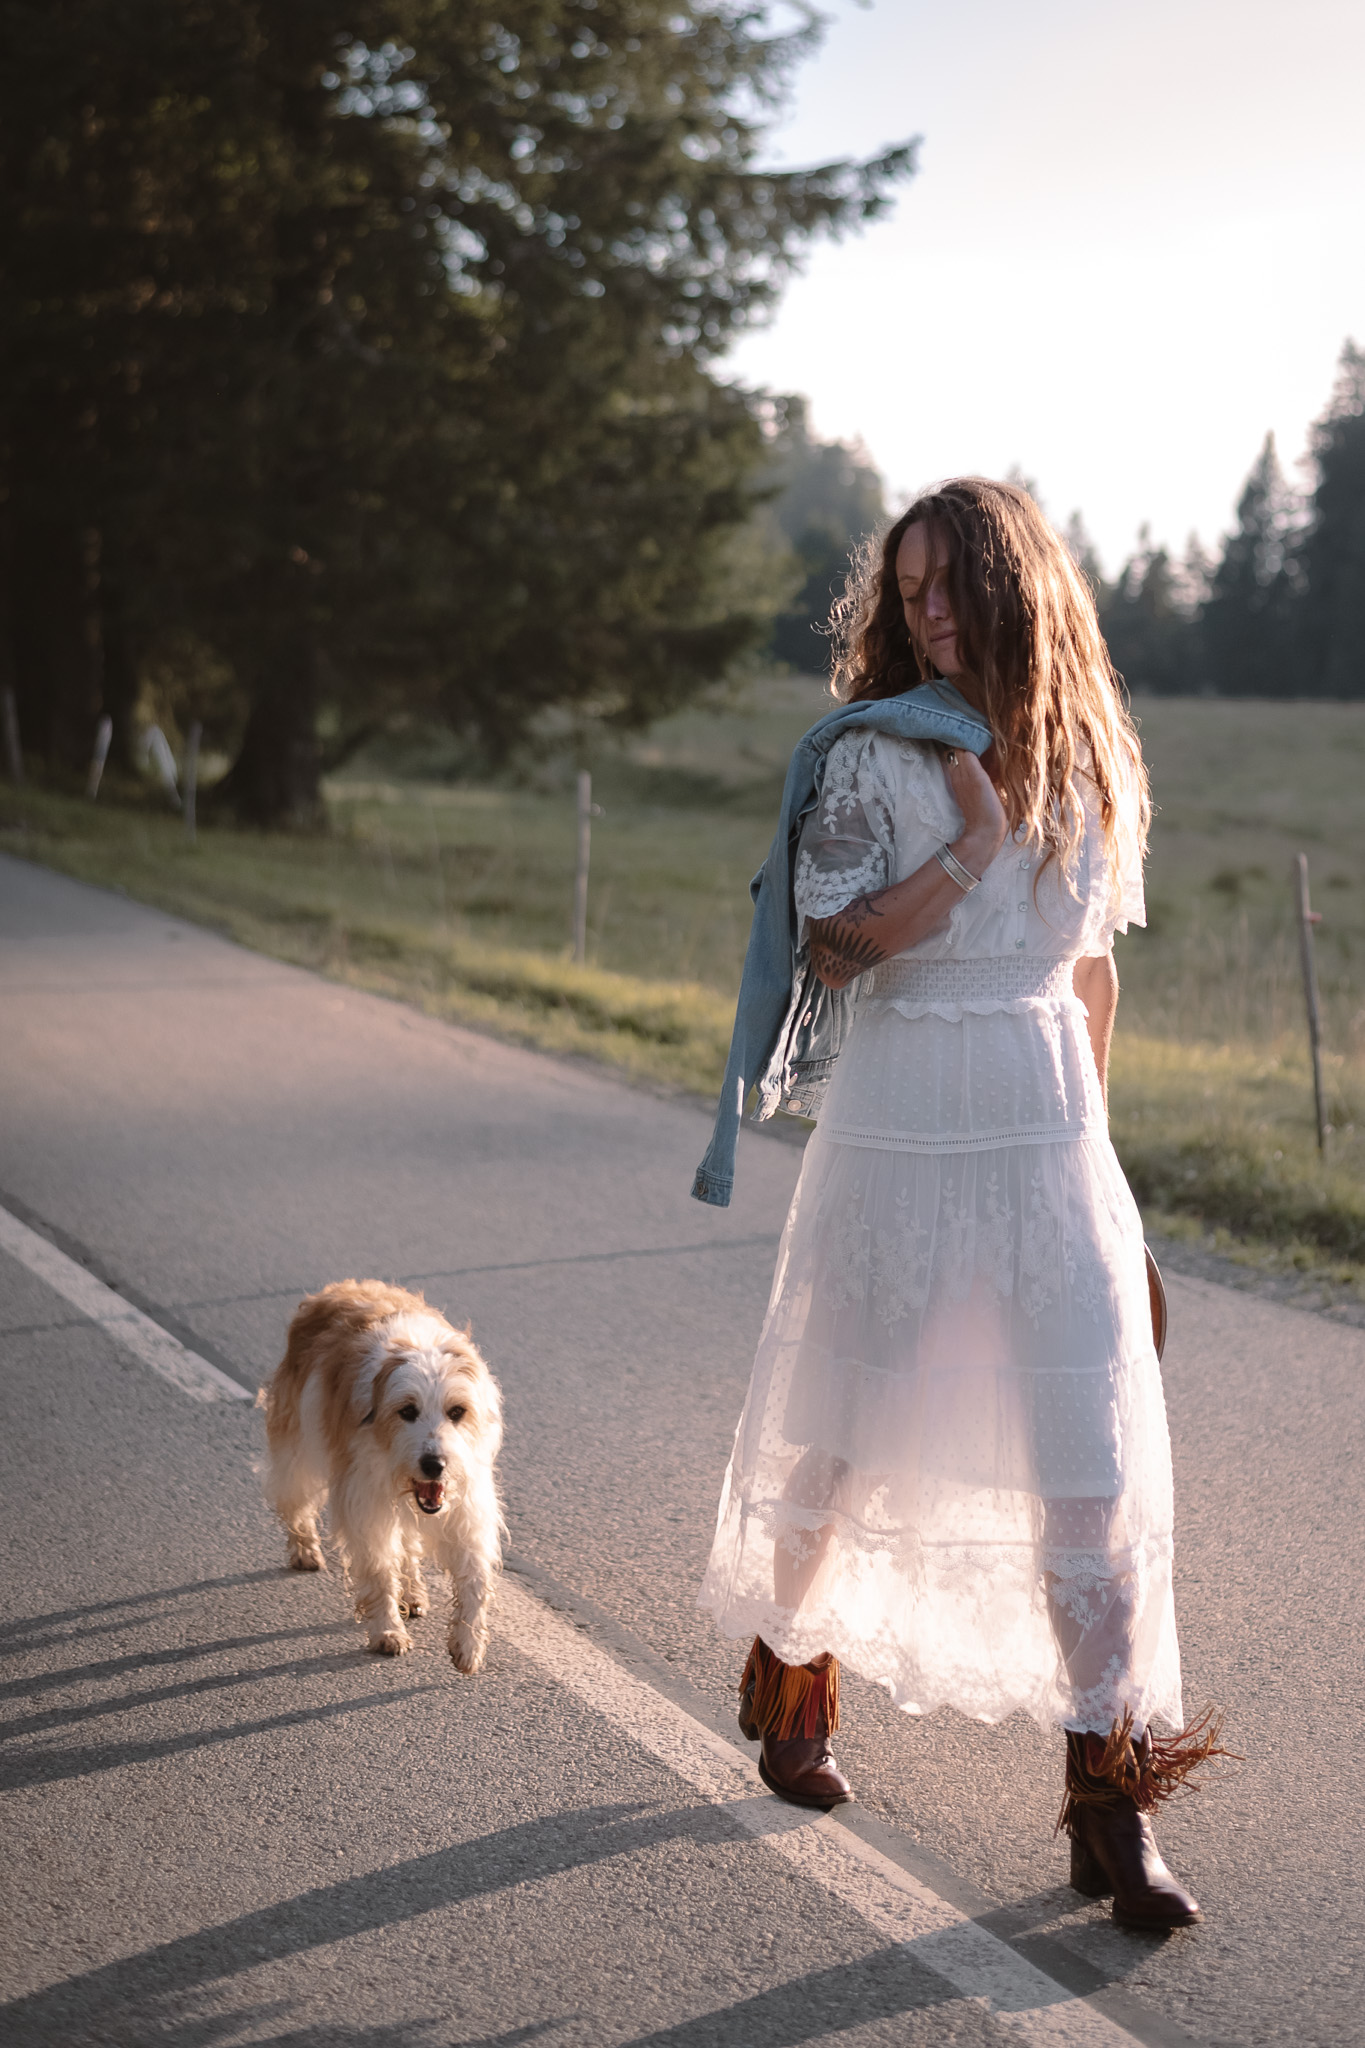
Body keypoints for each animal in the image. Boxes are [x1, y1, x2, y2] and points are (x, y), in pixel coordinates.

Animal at [261, 1286, 507, 1671]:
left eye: (457, 1412)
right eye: (407, 1411)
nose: (434, 1464)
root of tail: (336, 1289)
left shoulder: (467, 1507)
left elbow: (475, 1578)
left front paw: (468, 1642)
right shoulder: (366, 1505)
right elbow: (378, 1570)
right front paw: (387, 1631)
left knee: (406, 1543)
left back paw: (413, 1590)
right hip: (296, 1449)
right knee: (296, 1503)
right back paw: (304, 1549)